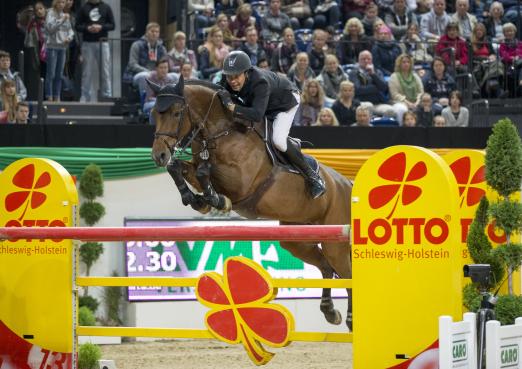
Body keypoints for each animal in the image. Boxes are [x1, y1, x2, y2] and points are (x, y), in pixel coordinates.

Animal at [148, 75, 352, 328]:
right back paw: (330, 311)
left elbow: (204, 172)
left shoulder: (240, 183)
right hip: (296, 239)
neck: (222, 131)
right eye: (154, 114)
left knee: (346, 273)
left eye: (177, 113)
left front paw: (214, 200)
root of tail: (346, 184)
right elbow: (179, 167)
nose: (158, 155)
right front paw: (196, 199)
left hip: (336, 241)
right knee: (325, 266)